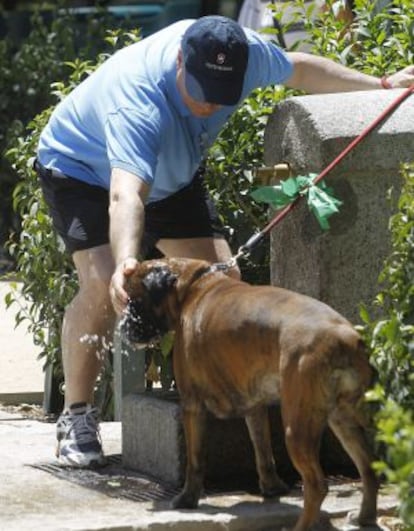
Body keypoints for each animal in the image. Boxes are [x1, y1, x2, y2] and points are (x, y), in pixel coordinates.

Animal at [122, 258, 378, 531]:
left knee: (317, 486)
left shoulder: (192, 405)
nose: (124, 325)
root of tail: (343, 338)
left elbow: (195, 460)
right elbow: (262, 449)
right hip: (345, 421)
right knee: (369, 469)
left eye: (134, 300)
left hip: (298, 430)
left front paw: (187, 499)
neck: (192, 286)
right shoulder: (255, 408)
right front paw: (272, 488)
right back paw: (365, 517)